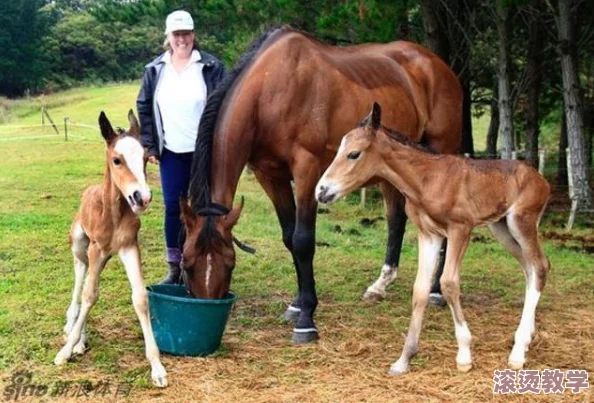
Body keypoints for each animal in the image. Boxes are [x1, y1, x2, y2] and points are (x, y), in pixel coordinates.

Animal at [53, 110, 166, 388]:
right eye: (117, 160)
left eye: (145, 158)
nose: (142, 197)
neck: (114, 214)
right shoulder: (96, 250)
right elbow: (89, 295)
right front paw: (65, 352)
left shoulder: (129, 248)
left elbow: (140, 297)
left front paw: (157, 367)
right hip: (82, 250)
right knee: (79, 284)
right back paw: (75, 335)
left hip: (103, 257)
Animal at [314, 104, 552, 376]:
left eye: (354, 154)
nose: (321, 191)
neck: (426, 179)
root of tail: (541, 179)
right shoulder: (429, 234)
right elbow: (420, 289)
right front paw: (404, 359)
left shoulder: (460, 229)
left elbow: (448, 283)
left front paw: (464, 355)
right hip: (501, 228)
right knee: (530, 268)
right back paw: (527, 338)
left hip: (521, 221)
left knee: (540, 266)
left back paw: (518, 352)